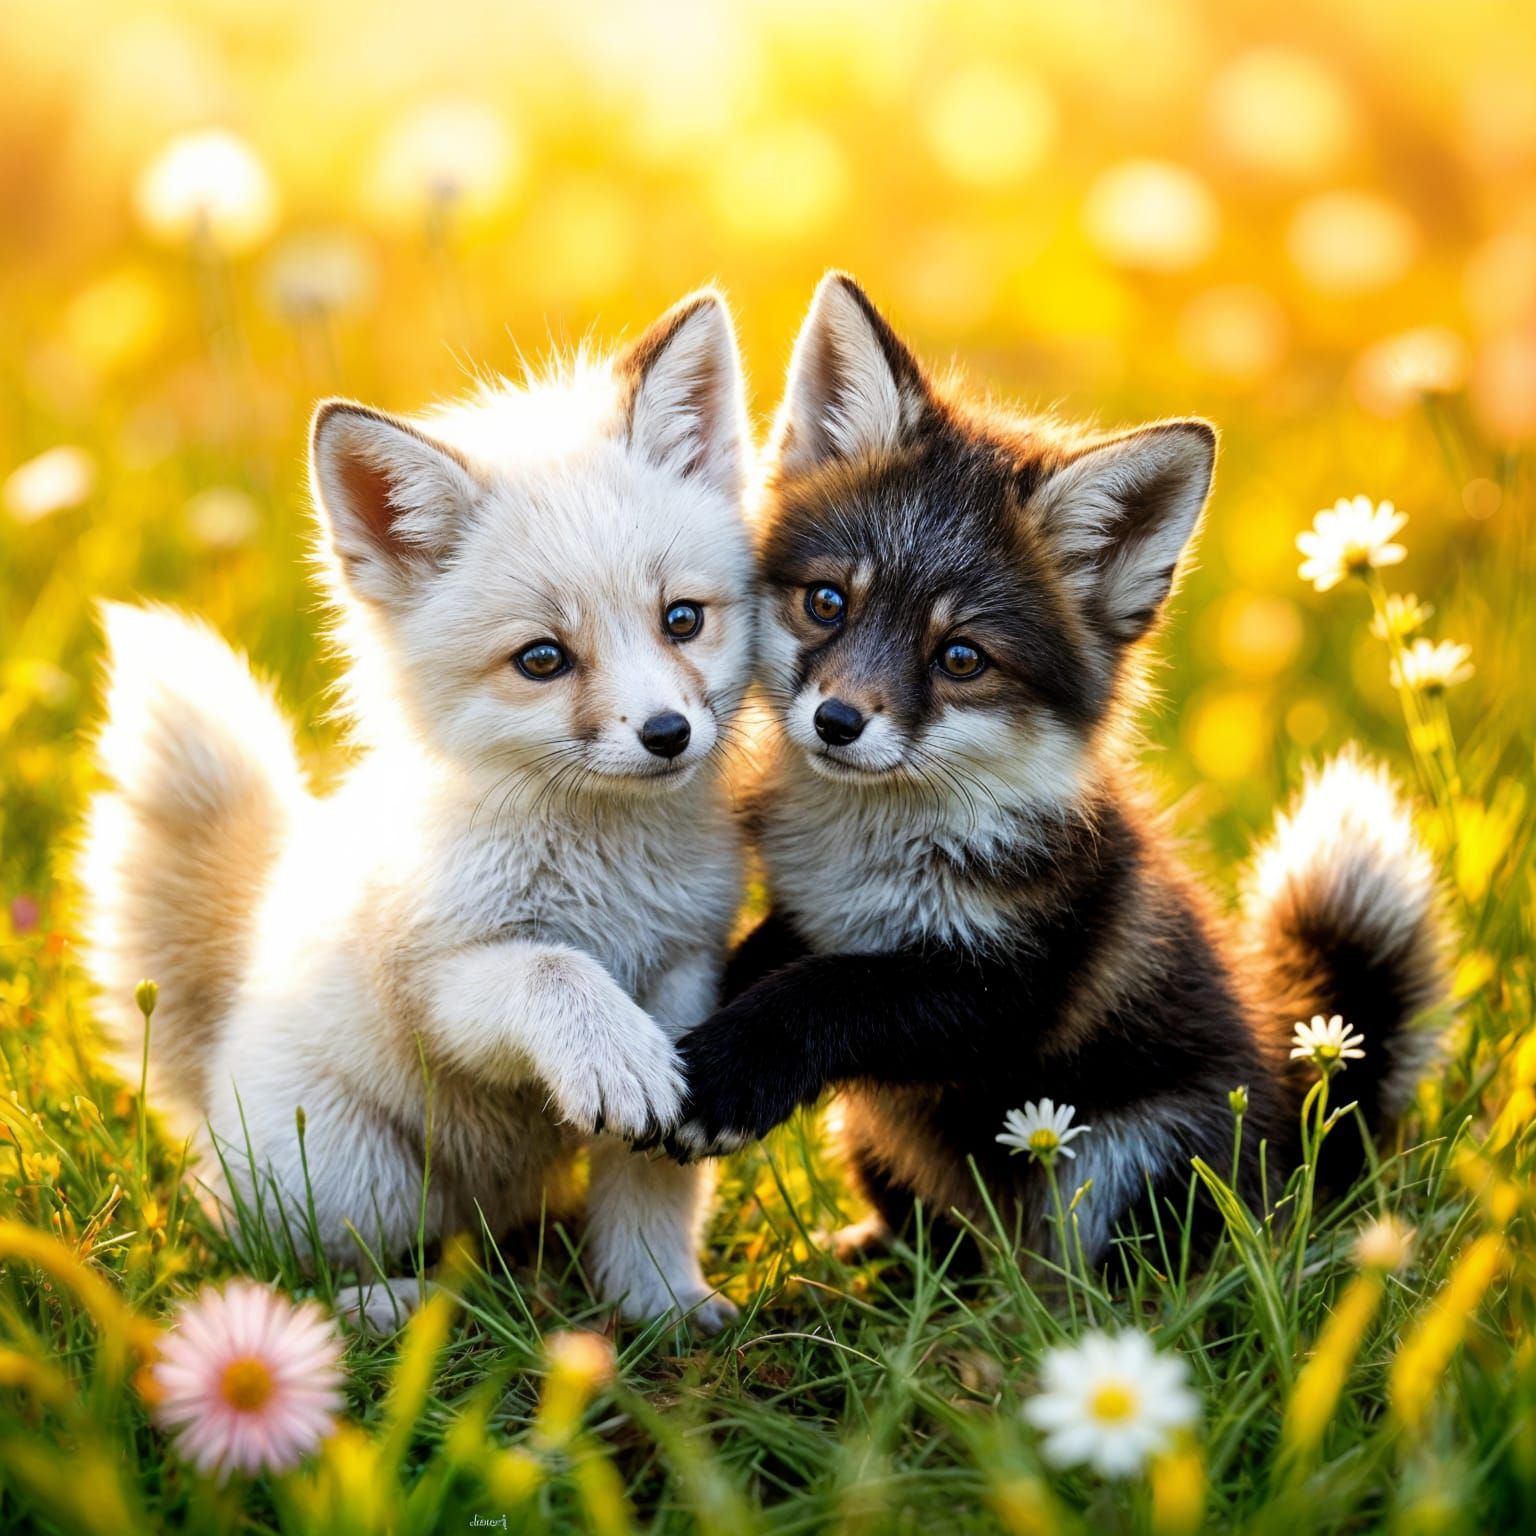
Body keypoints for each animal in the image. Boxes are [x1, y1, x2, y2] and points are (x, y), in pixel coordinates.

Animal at [81, 290, 755, 1330]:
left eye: (682, 619)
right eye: (542, 659)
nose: (668, 733)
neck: (609, 877)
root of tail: (207, 1068)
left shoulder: (686, 965)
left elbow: (651, 1184)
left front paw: (660, 1303)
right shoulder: (441, 985)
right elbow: (552, 971)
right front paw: (608, 1051)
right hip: (355, 1181)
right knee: (253, 1263)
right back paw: (388, 1310)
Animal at [667, 273, 1447, 1263]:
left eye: (961, 658)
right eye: (827, 603)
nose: (837, 722)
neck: (872, 862)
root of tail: (1308, 1162)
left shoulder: (1013, 989)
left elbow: (830, 993)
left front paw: (732, 1070)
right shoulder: (810, 915)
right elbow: (765, 962)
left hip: (1118, 1160)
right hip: (874, 1136)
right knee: (941, 1248)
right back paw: (879, 1262)